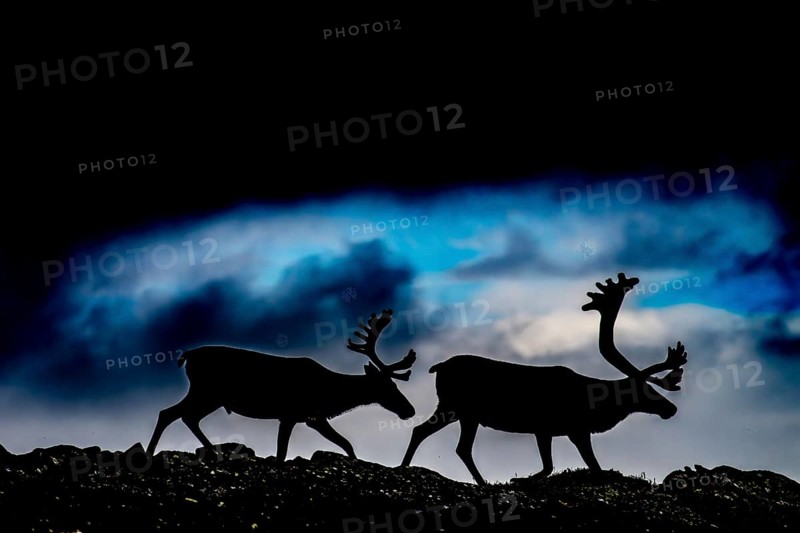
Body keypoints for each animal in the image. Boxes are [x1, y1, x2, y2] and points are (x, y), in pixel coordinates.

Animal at [146, 309, 417, 462]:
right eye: (388, 387)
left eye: (397, 385)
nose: (410, 410)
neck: (331, 394)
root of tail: (188, 355)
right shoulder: (297, 415)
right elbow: (285, 453)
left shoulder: (304, 417)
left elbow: (343, 444)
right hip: (206, 391)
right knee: (172, 413)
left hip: (210, 396)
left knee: (181, 415)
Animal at [400, 273, 688, 485]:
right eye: (644, 389)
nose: (671, 408)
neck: (596, 403)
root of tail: (438, 367)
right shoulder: (569, 428)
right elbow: (582, 467)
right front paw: (518, 480)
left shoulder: (551, 430)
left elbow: (554, 466)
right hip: (459, 408)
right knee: (446, 441)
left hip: (460, 412)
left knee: (437, 437)